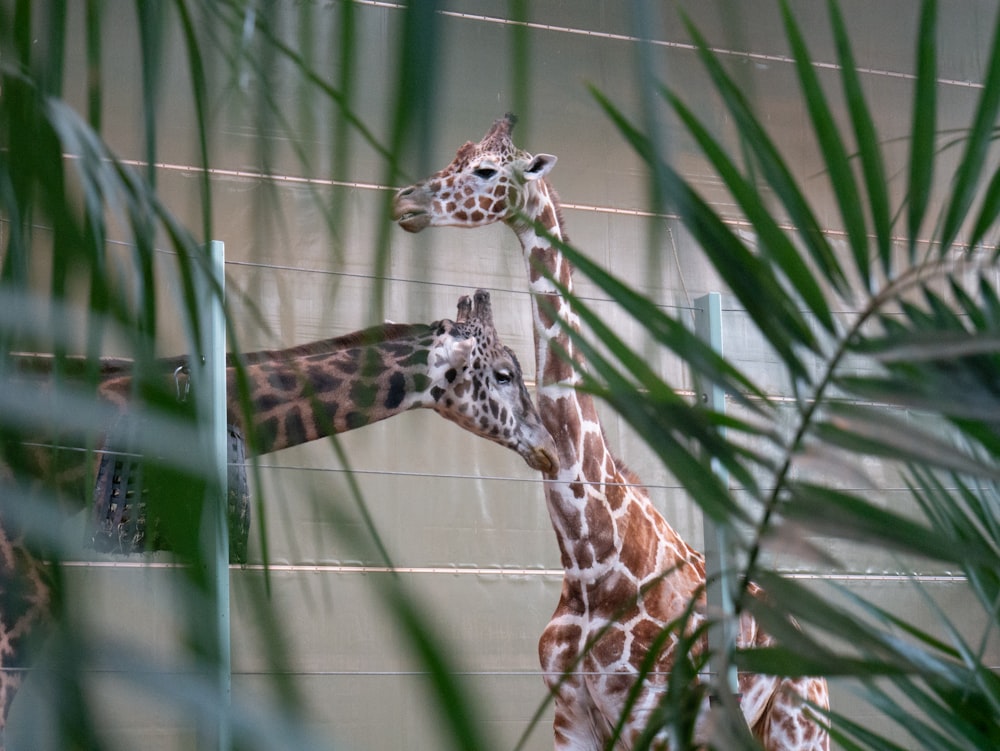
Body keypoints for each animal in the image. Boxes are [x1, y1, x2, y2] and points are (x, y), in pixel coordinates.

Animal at [394, 114, 832, 748]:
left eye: (485, 170)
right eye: (457, 157)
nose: (406, 202)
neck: (589, 562)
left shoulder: (651, 715)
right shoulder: (569, 717)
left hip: (799, 722)